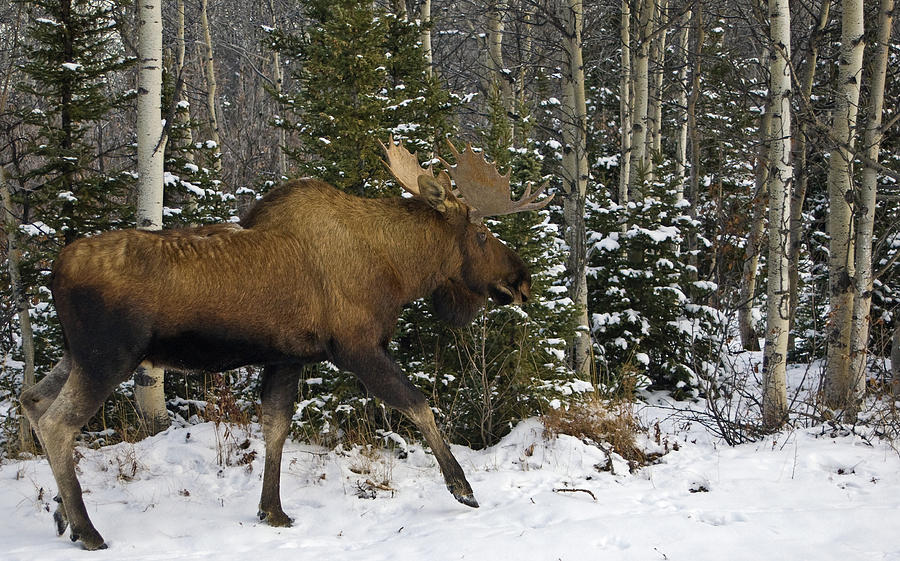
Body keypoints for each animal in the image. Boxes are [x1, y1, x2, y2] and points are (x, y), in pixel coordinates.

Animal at [21, 138, 552, 548]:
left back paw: (62, 515)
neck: (400, 272)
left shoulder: (289, 357)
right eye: (481, 233)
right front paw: (463, 488)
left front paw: (272, 511)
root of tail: (53, 271)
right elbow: (419, 405)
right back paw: (88, 530)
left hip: (77, 354)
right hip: (108, 356)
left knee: (32, 398)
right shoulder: (356, 346)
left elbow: (275, 427)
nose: (523, 279)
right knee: (57, 422)